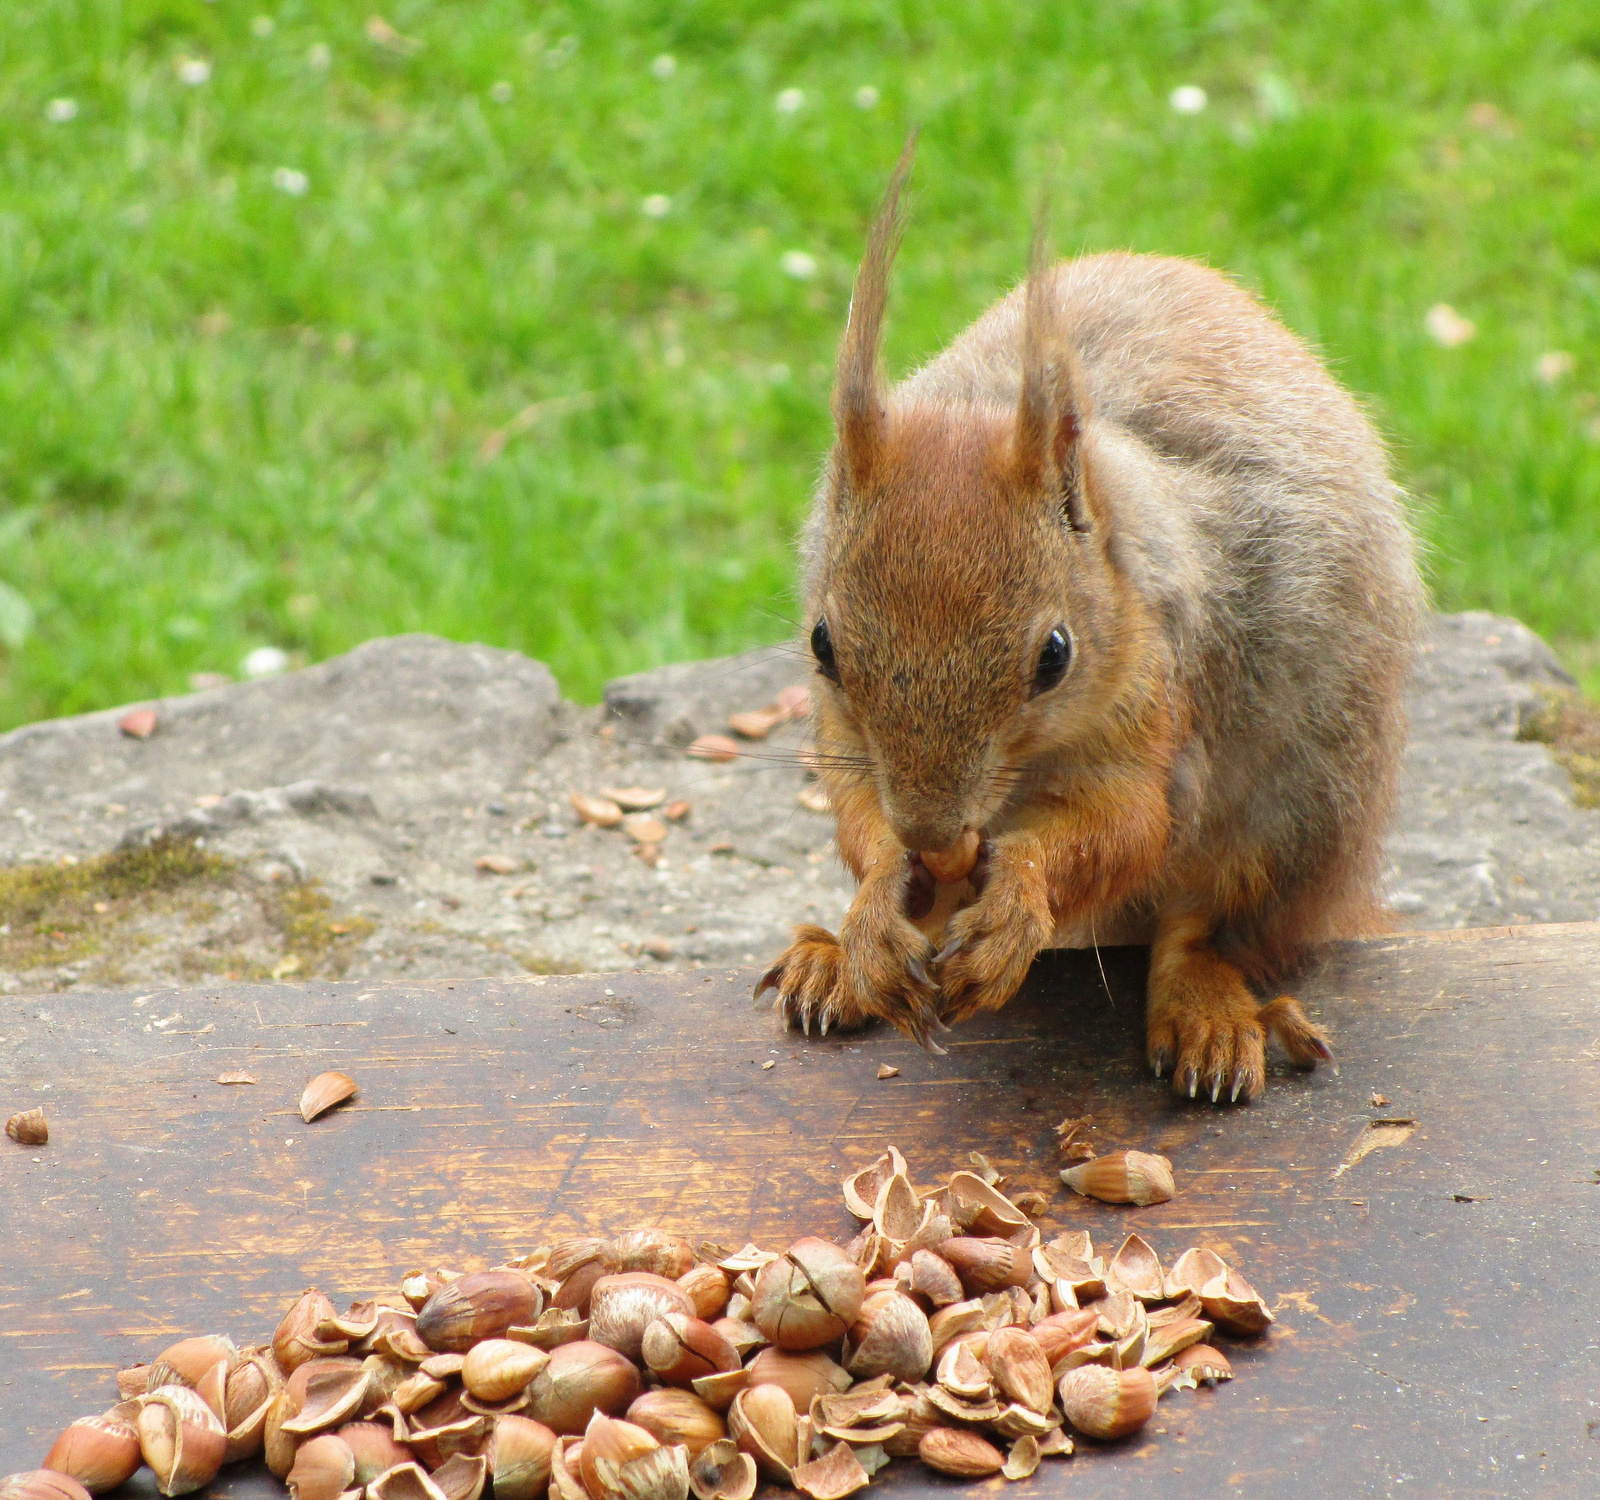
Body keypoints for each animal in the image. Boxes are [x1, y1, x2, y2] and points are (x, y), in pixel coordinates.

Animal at [758, 143, 1427, 1100]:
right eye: (823, 645)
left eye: (1055, 656)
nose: (934, 834)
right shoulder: (845, 734)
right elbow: (858, 810)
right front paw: (879, 903)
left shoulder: (1156, 704)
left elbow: (1126, 826)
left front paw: (1018, 898)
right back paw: (838, 966)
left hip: (1298, 814)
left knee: (1204, 926)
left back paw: (1207, 1018)